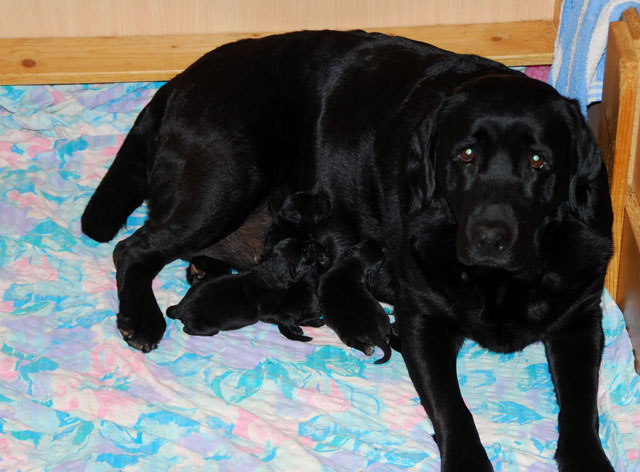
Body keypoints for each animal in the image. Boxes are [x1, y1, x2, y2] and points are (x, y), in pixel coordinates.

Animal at [167, 237, 328, 338]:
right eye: (305, 252)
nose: (315, 243)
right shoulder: (267, 312)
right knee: (188, 329)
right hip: (208, 327)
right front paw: (296, 328)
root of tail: (180, 308)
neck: (270, 272)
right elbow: (285, 316)